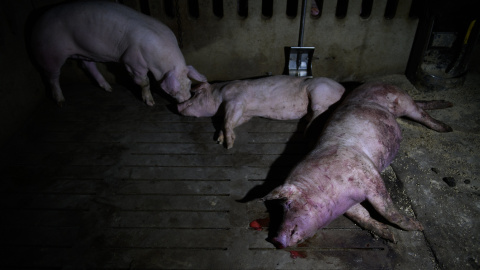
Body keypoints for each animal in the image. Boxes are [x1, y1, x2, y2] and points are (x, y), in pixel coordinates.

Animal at [30, 0, 206, 105]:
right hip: (50, 52)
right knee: (52, 76)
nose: (186, 100)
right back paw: (61, 101)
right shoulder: (132, 61)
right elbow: (144, 82)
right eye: (173, 90)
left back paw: (109, 89)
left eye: (189, 83)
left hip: (85, 52)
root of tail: (37, 22)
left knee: (87, 65)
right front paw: (150, 103)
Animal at [176, 75, 344, 149]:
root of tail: (342, 89)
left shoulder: (236, 101)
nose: (177, 106)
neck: (218, 94)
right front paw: (219, 139)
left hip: (318, 91)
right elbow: (230, 121)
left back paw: (307, 133)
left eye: (196, 94)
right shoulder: (246, 114)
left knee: (320, 110)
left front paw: (229, 145)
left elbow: (227, 120)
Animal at [264, 81, 452, 249]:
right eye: (280, 208)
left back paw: (446, 127)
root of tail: (379, 82)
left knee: (421, 113)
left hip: (403, 100)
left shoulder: (368, 173)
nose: (275, 239)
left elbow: (385, 208)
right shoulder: (350, 204)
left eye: (287, 205)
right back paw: (447, 105)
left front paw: (417, 227)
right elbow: (362, 216)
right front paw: (388, 235)